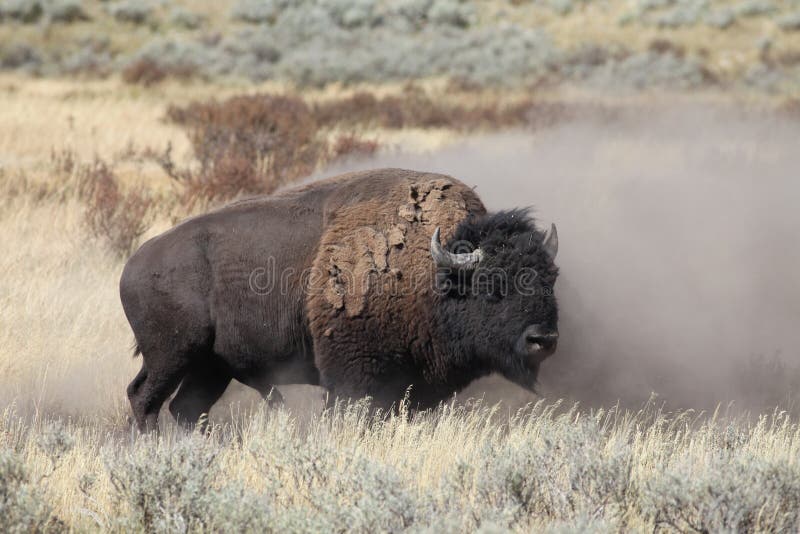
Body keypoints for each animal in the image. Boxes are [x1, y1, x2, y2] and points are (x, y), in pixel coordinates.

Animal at [120, 170, 556, 434]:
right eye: (492, 285)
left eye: (550, 279)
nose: (543, 339)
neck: (434, 273)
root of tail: (134, 265)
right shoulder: (353, 379)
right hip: (172, 355)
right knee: (145, 398)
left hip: (210, 367)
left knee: (185, 407)